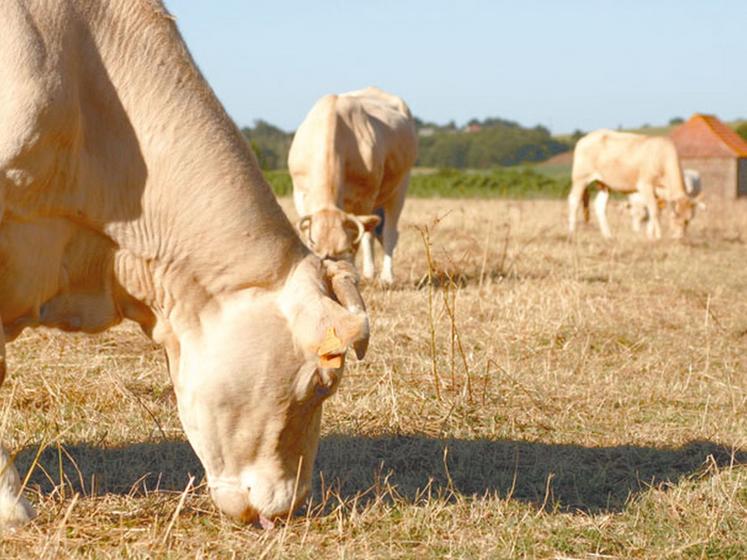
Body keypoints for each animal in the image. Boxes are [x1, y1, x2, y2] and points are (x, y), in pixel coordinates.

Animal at [288, 89, 418, 286]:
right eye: (313, 246)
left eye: (344, 249)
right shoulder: (300, 194)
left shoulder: (364, 197)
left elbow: (363, 235)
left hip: (400, 186)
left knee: (388, 233)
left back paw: (386, 277)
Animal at [568, 130, 700, 240]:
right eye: (675, 217)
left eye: (688, 220)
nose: (679, 237)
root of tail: (586, 137)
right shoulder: (645, 185)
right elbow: (654, 210)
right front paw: (655, 236)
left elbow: (655, 212)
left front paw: (652, 234)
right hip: (580, 179)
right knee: (573, 201)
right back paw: (572, 232)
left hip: (604, 184)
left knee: (599, 206)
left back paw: (608, 236)